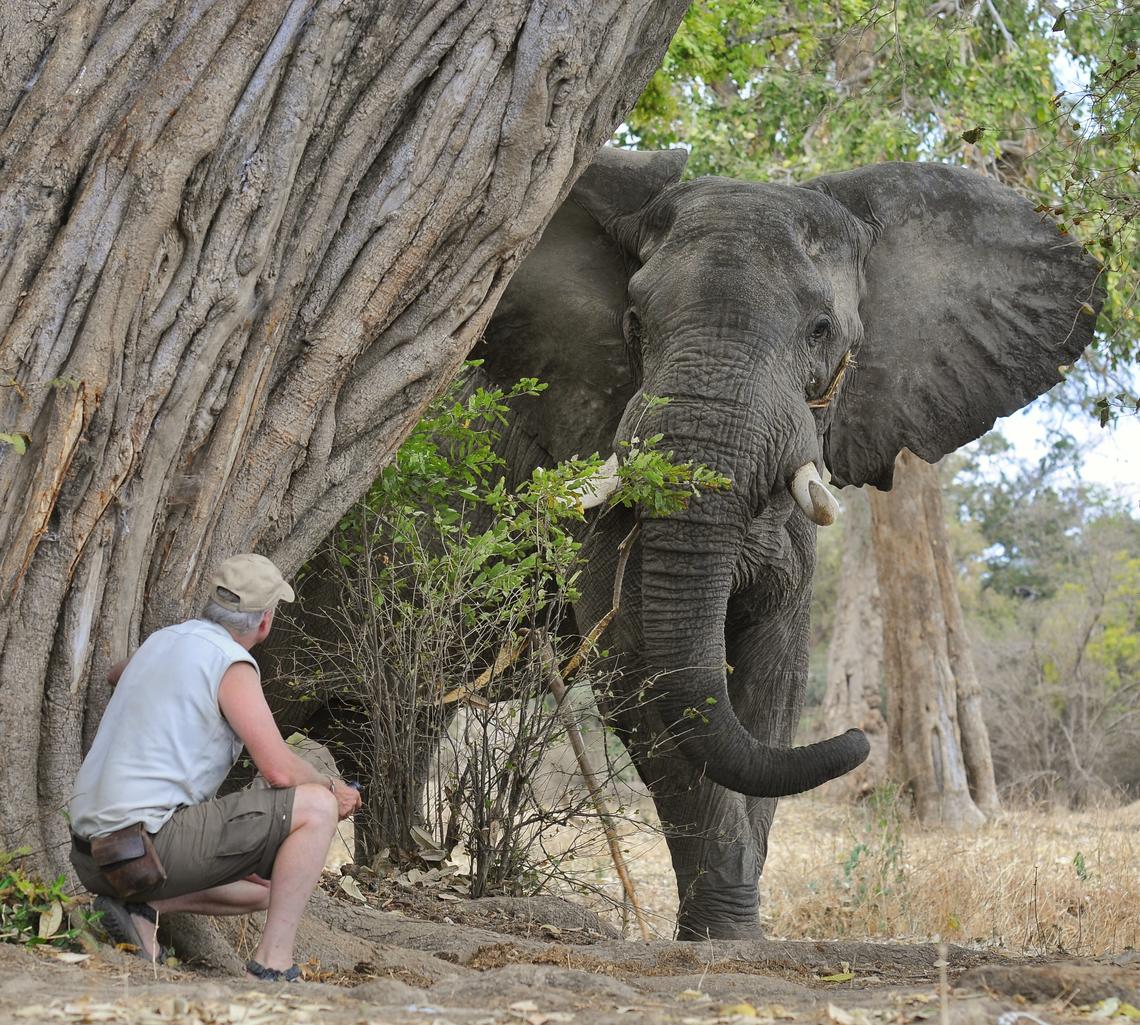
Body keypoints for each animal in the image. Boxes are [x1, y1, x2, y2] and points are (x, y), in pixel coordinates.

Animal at [472, 146, 1102, 941]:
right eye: (634, 321)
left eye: (821, 329)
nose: (862, 738)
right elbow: (639, 674)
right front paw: (724, 933)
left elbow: (772, 679)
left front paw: (735, 929)